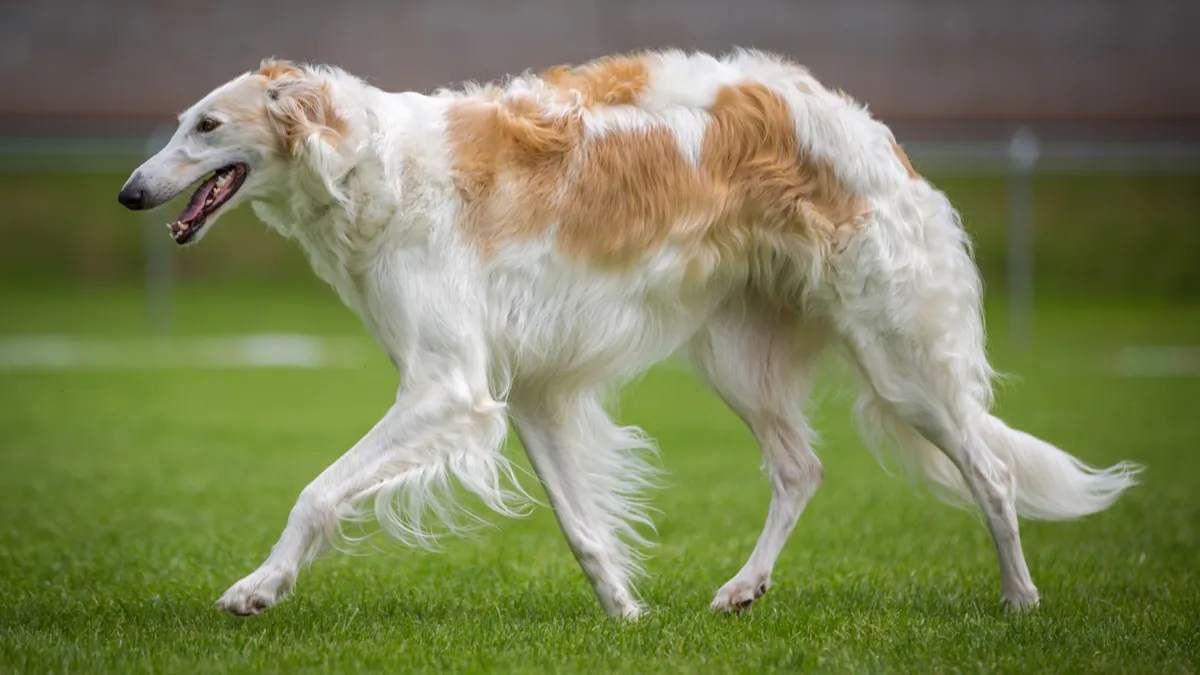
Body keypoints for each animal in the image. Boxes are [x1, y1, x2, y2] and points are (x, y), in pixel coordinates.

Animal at [121, 49, 1142, 619]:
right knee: (801, 467)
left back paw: (1019, 600)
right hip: (734, 354)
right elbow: (582, 527)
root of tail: (867, 126)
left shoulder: (448, 387)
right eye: (178, 122)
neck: (371, 162)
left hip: (898, 359)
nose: (130, 191)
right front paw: (626, 612)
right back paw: (743, 587)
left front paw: (259, 587)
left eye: (205, 124)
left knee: (993, 472)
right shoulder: (528, 389)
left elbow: (315, 492)